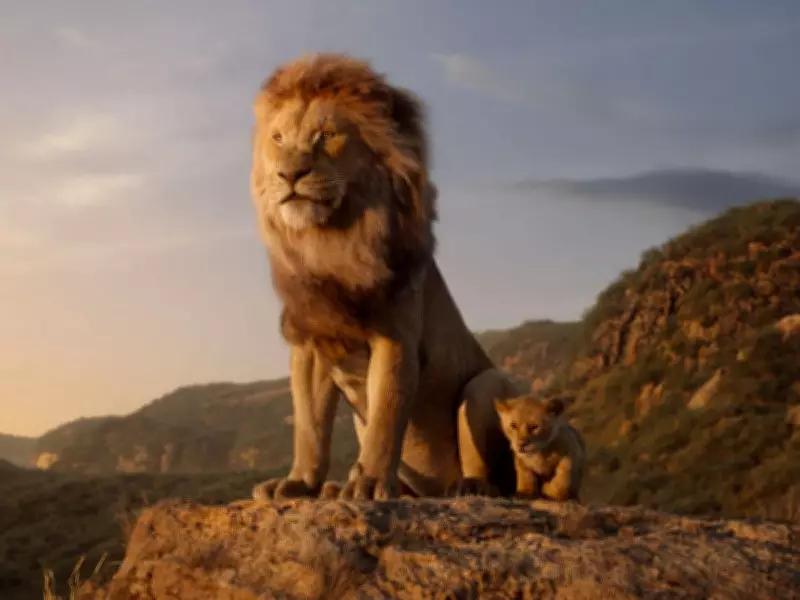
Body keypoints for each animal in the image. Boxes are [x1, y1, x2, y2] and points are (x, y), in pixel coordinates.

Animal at [248, 52, 523, 501]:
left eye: (327, 135)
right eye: (278, 139)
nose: (288, 175)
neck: (331, 242)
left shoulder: (395, 338)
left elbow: (385, 417)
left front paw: (370, 483)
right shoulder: (312, 345)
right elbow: (309, 426)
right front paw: (299, 482)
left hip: (486, 384)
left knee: (492, 469)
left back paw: (468, 487)